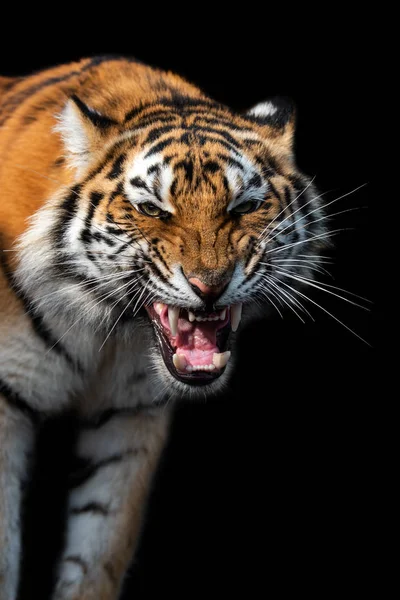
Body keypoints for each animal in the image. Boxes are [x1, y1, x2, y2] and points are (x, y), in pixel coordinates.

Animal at [0, 56, 324, 600]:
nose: (210, 284)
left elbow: (100, 550)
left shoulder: (129, 415)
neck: (107, 325)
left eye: (244, 206)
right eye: (151, 209)